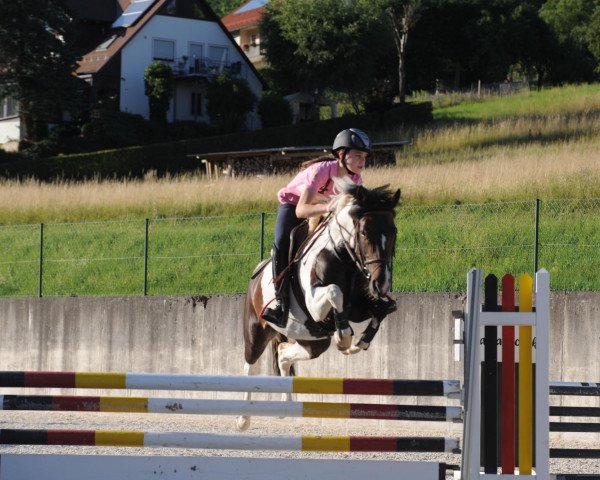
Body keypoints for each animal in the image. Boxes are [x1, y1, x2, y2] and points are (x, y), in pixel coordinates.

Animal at [237, 182, 400, 430]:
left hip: (313, 341)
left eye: (394, 232)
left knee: (283, 354)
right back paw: (243, 418)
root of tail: (256, 274)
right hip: (256, 329)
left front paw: (359, 342)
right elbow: (334, 291)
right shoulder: (315, 305)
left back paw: (284, 405)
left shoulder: (360, 307)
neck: (342, 257)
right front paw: (344, 337)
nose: (380, 284)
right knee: (250, 364)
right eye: (364, 233)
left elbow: (384, 309)